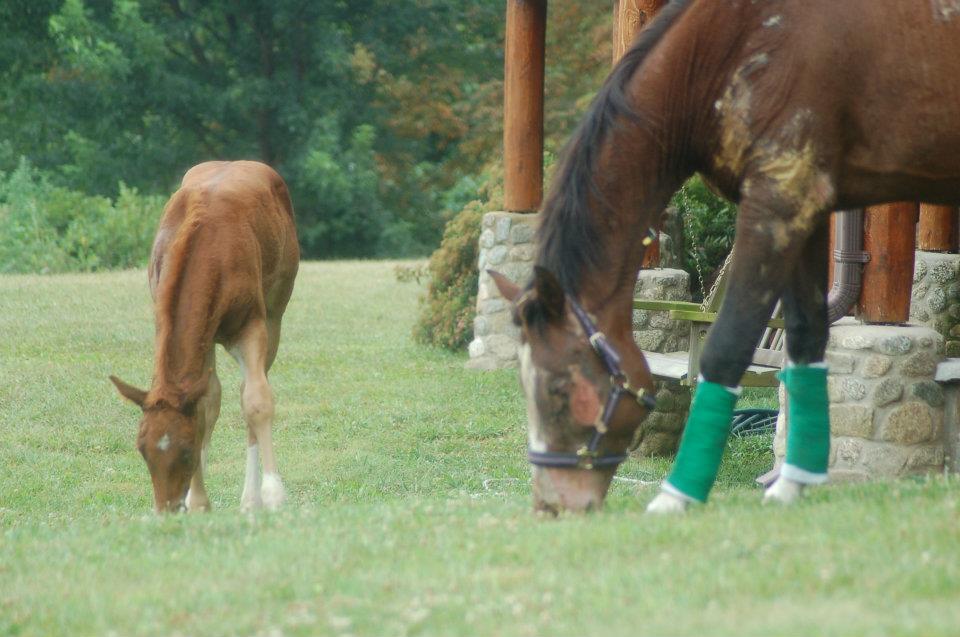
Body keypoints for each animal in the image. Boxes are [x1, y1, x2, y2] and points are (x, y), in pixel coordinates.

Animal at [109, 160, 298, 512]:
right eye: (142, 449)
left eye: (186, 451)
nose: (167, 509)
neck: (209, 247)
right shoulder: (195, 334)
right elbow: (205, 404)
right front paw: (197, 501)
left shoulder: (251, 322)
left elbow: (257, 401)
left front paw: (272, 495)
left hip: (275, 313)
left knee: (251, 389)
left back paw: (250, 500)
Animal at [492, 0, 960, 516]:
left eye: (558, 388)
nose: (550, 506)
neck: (731, 44)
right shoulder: (807, 212)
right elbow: (805, 337)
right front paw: (792, 484)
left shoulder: (776, 201)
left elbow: (727, 346)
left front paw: (678, 494)